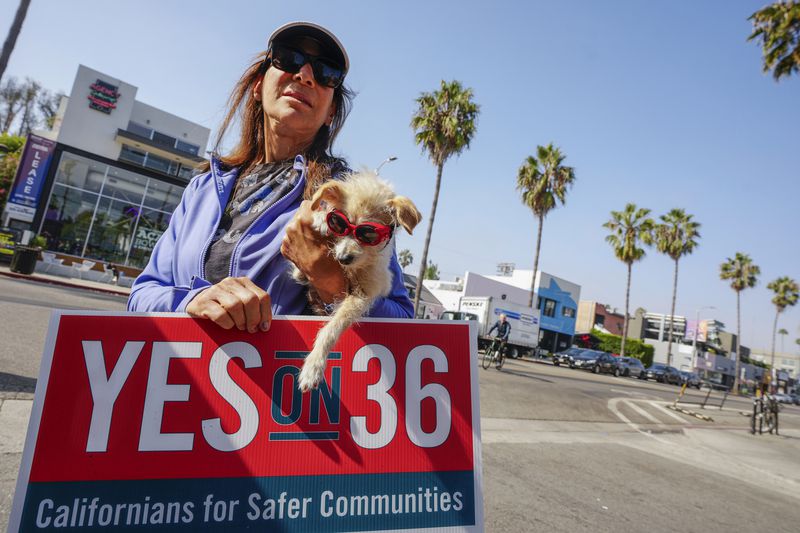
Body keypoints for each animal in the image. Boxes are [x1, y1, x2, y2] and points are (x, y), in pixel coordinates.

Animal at [290, 170, 422, 390]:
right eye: (339, 223)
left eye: (368, 233)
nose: (343, 258)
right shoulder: (298, 272)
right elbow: (298, 273)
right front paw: (322, 219)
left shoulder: (364, 294)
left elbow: (332, 328)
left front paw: (313, 366)